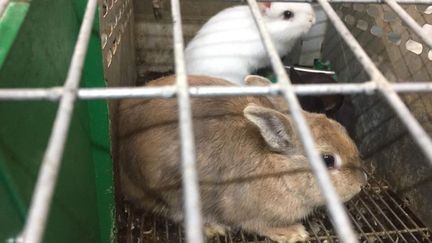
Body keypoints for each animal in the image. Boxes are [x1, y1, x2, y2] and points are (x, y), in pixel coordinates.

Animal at [117, 75, 364, 242]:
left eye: (340, 128)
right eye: (327, 160)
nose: (362, 183)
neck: (279, 168)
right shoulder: (250, 214)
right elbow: (258, 225)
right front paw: (293, 232)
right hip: (170, 191)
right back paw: (213, 228)